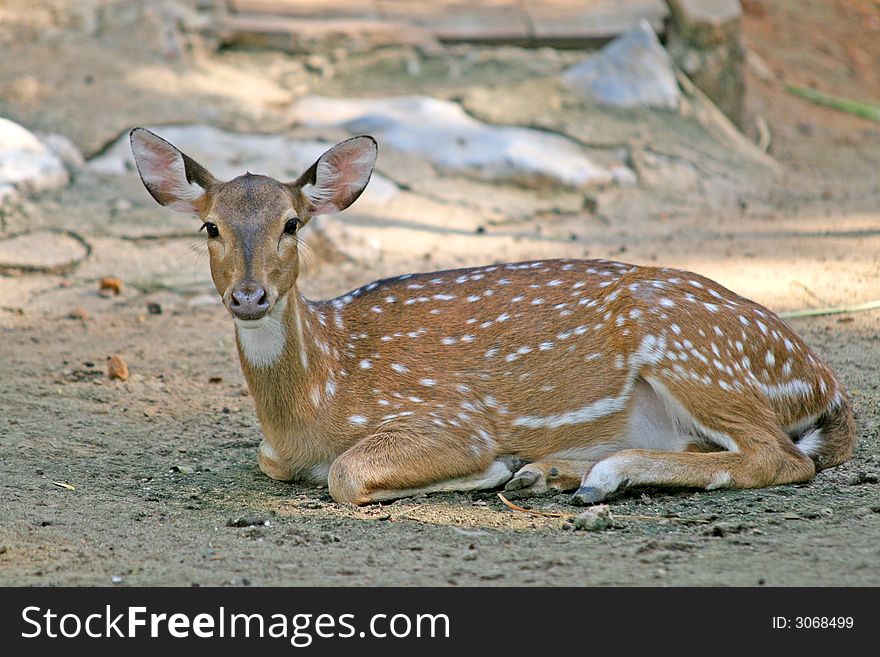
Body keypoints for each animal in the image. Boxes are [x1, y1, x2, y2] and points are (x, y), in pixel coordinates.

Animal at [127, 129, 856, 508]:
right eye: (210, 228)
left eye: (292, 224)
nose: (249, 296)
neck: (313, 404)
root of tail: (824, 382)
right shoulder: (274, 453)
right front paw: (520, 470)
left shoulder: (450, 416)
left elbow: (347, 474)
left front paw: (495, 468)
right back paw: (555, 473)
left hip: (690, 348)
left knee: (781, 456)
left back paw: (589, 474)